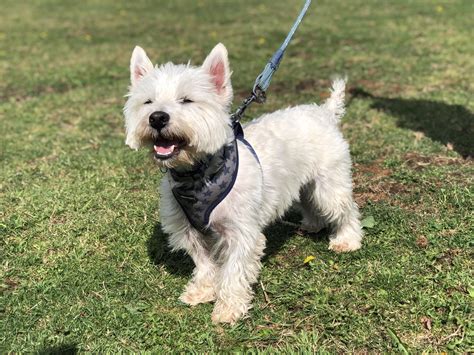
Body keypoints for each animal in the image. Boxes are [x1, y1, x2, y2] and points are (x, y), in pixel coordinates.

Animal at [123, 43, 362, 326]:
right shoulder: (188, 229)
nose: (157, 117)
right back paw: (313, 224)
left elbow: (234, 270)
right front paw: (203, 291)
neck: (198, 173)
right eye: (147, 102)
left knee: (346, 209)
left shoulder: (241, 232)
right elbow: (204, 263)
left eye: (187, 100)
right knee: (307, 200)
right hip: (306, 182)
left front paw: (228, 307)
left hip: (329, 183)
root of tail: (324, 112)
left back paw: (347, 240)